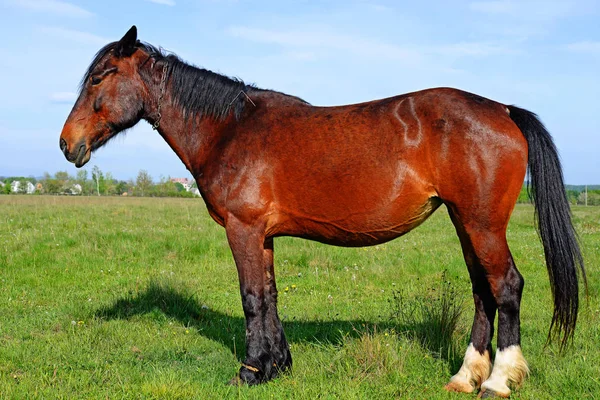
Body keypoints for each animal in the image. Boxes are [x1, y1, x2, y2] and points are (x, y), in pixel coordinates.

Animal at [58, 26, 584, 396]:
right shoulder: (263, 235)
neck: (230, 129)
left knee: (506, 286)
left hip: (482, 223)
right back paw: (464, 377)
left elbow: (251, 298)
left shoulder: (242, 229)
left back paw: (496, 381)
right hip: (464, 221)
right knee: (482, 291)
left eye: (100, 77)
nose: (67, 144)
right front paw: (276, 367)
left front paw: (249, 371)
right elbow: (269, 296)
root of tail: (502, 109)